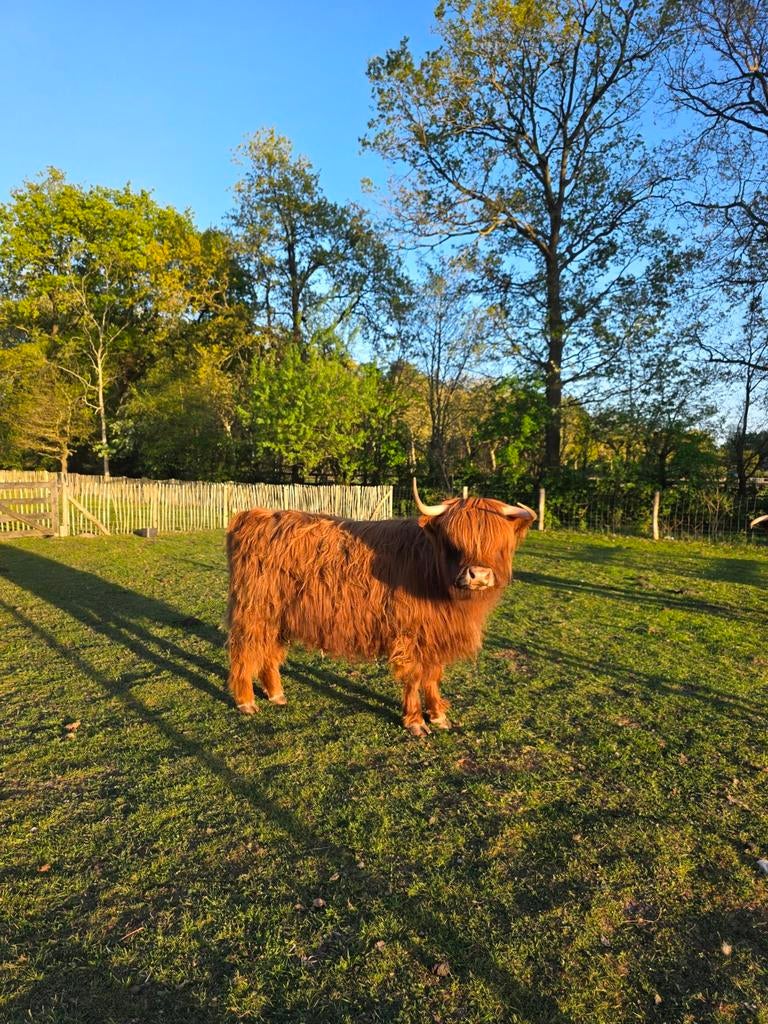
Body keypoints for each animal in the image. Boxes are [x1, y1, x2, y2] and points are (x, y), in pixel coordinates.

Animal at [226, 479, 536, 736]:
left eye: (499, 543)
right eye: (453, 542)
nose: (478, 575)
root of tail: (253, 515)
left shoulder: (435, 636)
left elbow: (432, 676)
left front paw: (438, 715)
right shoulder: (410, 635)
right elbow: (413, 677)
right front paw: (415, 721)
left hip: (276, 616)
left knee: (269, 652)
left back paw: (276, 694)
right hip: (254, 611)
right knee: (244, 650)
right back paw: (246, 701)